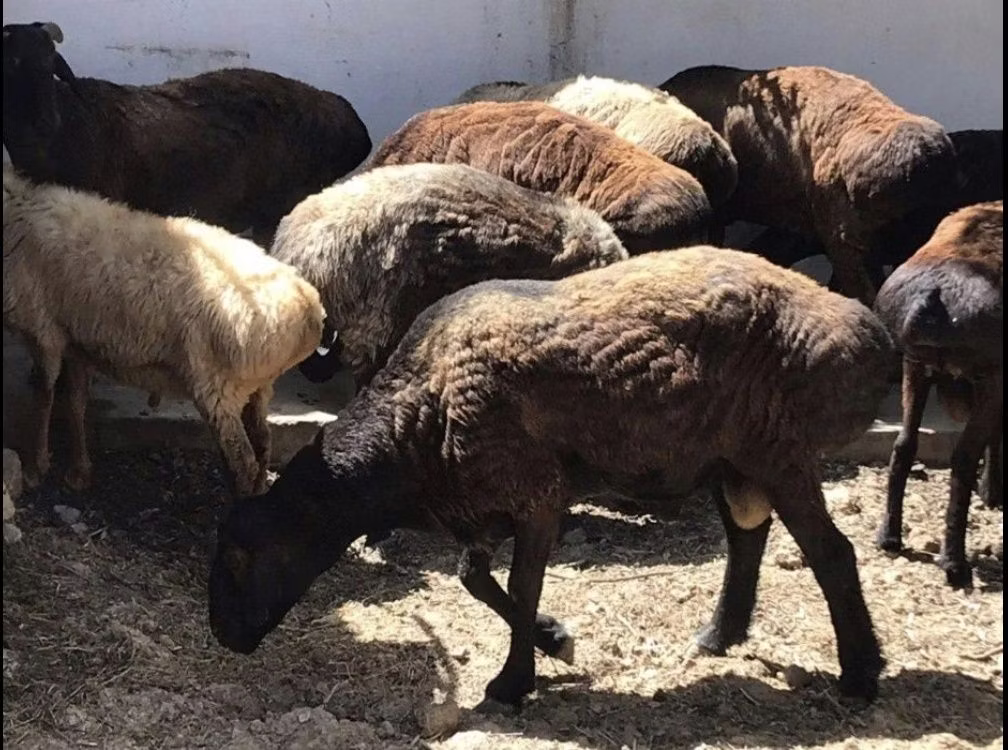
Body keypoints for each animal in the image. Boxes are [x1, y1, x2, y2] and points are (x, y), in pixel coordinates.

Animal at [2, 167, 325, 496]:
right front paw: (79, 472)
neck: (15, 213)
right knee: (262, 443)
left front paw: (36, 468)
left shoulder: (43, 332)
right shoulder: (76, 341)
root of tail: (307, 306)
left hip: (220, 387)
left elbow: (43, 397)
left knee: (242, 460)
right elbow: (76, 403)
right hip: (258, 385)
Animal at [208, 247, 893, 708]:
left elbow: (519, 583)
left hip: (779, 452)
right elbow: (476, 580)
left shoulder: (535, 492)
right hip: (735, 461)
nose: (223, 636)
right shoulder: (479, 505)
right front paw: (553, 639)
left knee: (832, 553)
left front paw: (514, 682)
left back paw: (860, 674)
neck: (417, 421)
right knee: (748, 534)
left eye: (243, 556)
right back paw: (719, 634)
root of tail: (866, 330)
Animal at [873, 201, 1003, 589]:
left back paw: (889, 538)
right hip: (983, 378)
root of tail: (932, 303)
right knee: (962, 457)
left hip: (914, 366)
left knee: (903, 444)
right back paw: (955, 565)